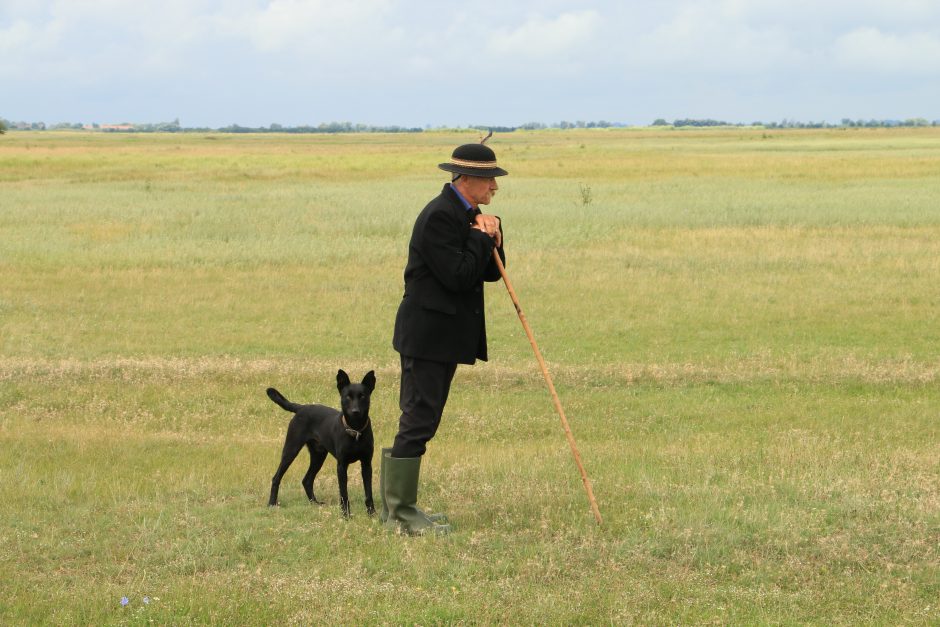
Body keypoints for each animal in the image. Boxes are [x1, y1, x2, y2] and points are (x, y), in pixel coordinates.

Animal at [264, 370, 374, 516]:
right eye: (347, 397)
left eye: (362, 396)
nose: (355, 411)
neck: (355, 430)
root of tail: (301, 408)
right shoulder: (341, 465)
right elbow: (344, 494)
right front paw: (346, 515)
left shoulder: (367, 464)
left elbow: (368, 493)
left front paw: (372, 514)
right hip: (291, 449)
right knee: (276, 477)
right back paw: (272, 503)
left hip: (318, 455)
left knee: (307, 480)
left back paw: (314, 503)